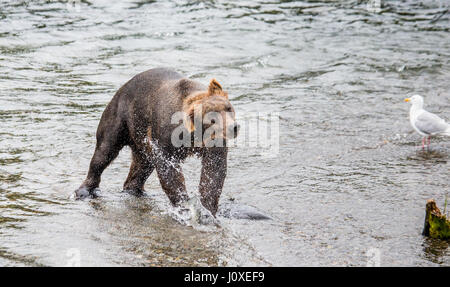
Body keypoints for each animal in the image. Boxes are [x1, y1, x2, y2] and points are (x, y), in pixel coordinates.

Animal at [74, 68, 239, 216]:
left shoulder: (213, 143)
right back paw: (84, 190)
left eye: (228, 107)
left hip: (141, 139)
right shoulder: (165, 138)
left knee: (142, 166)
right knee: (104, 152)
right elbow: (169, 170)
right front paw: (184, 205)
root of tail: (122, 87)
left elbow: (213, 170)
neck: (193, 135)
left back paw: (136, 190)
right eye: (212, 119)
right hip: (121, 118)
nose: (233, 127)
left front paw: (207, 208)